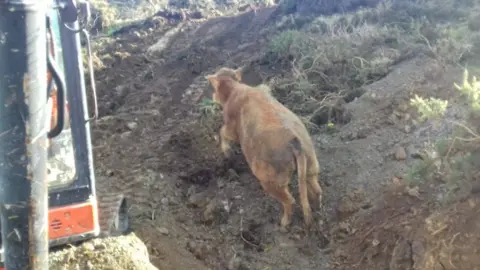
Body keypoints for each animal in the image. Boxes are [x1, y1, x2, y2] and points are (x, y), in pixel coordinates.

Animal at [205, 70, 322, 230]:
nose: (212, 96)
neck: (234, 88)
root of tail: (294, 141)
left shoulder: (231, 125)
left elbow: (222, 131)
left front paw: (228, 154)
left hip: (270, 179)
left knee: (290, 200)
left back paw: (283, 224)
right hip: (310, 161)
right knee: (315, 188)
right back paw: (316, 209)